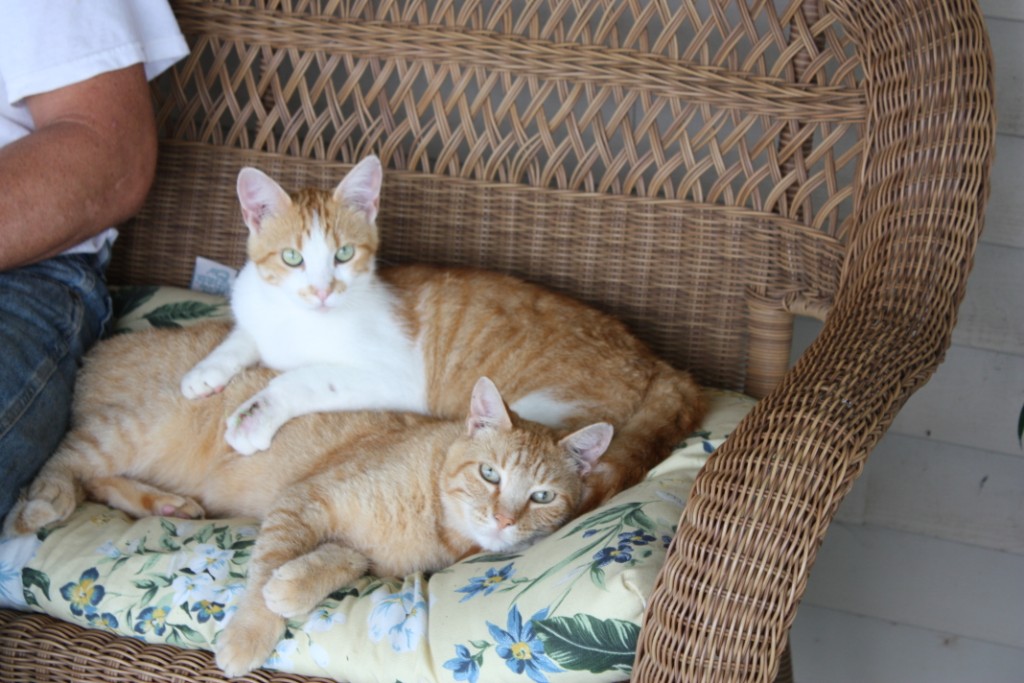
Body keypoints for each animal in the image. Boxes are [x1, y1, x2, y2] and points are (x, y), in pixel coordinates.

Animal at [4, 322, 613, 676]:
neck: (435, 517)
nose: (503, 519)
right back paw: (45, 501)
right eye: (490, 474)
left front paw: (293, 587)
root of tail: (104, 345)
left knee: (99, 480)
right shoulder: (305, 500)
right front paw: (250, 633)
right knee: (71, 456)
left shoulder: (353, 544)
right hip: (134, 431)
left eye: (541, 496)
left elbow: (336, 561)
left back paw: (165, 505)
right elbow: (263, 570)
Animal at [180, 155, 705, 511]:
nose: (323, 290)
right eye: (292, 258)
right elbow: (241, 338)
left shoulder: (393, 377)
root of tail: (658, 361)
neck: (295, 319)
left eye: (344, 254)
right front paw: (204, 373)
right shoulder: (256, 315)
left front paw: (255, 415)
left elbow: (300, 378)